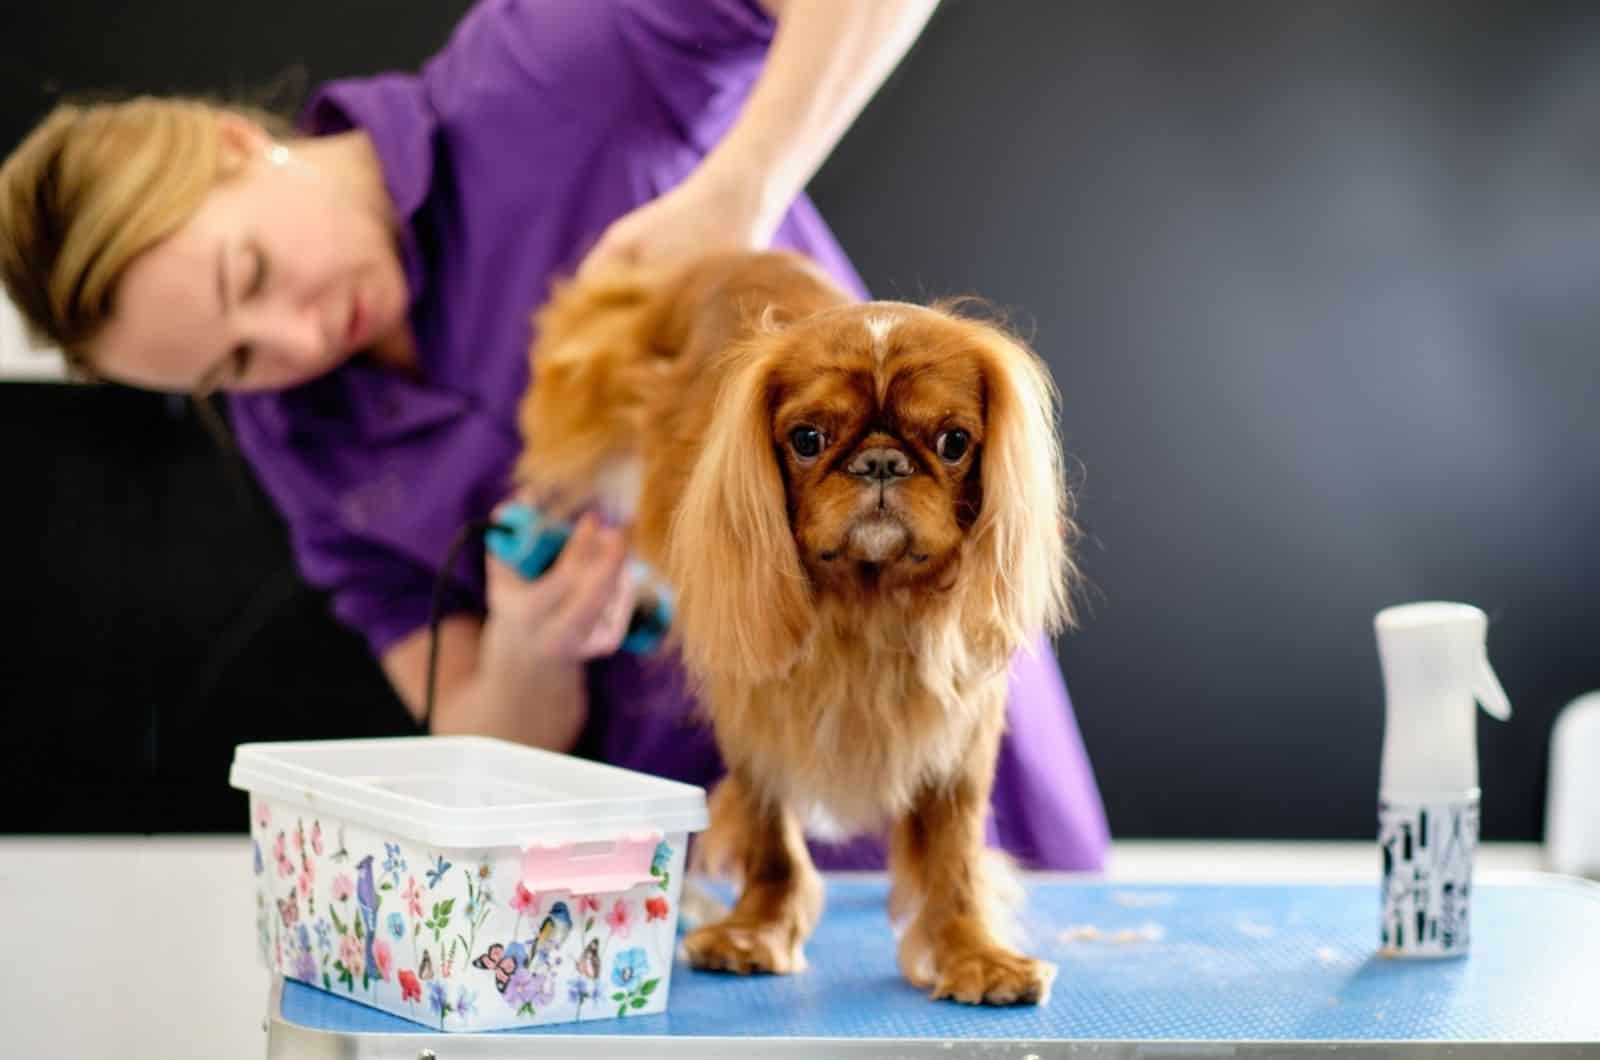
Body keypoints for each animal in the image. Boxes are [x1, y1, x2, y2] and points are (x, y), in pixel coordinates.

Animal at [518, 252, 1081, 1011]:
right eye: (808, 440)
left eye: (954, 441)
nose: (881, 462)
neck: (869, 599)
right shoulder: (758, 713)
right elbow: (771, 834)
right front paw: (756, 931)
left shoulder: (959, 732)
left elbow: (954, 850)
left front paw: (974, 954)